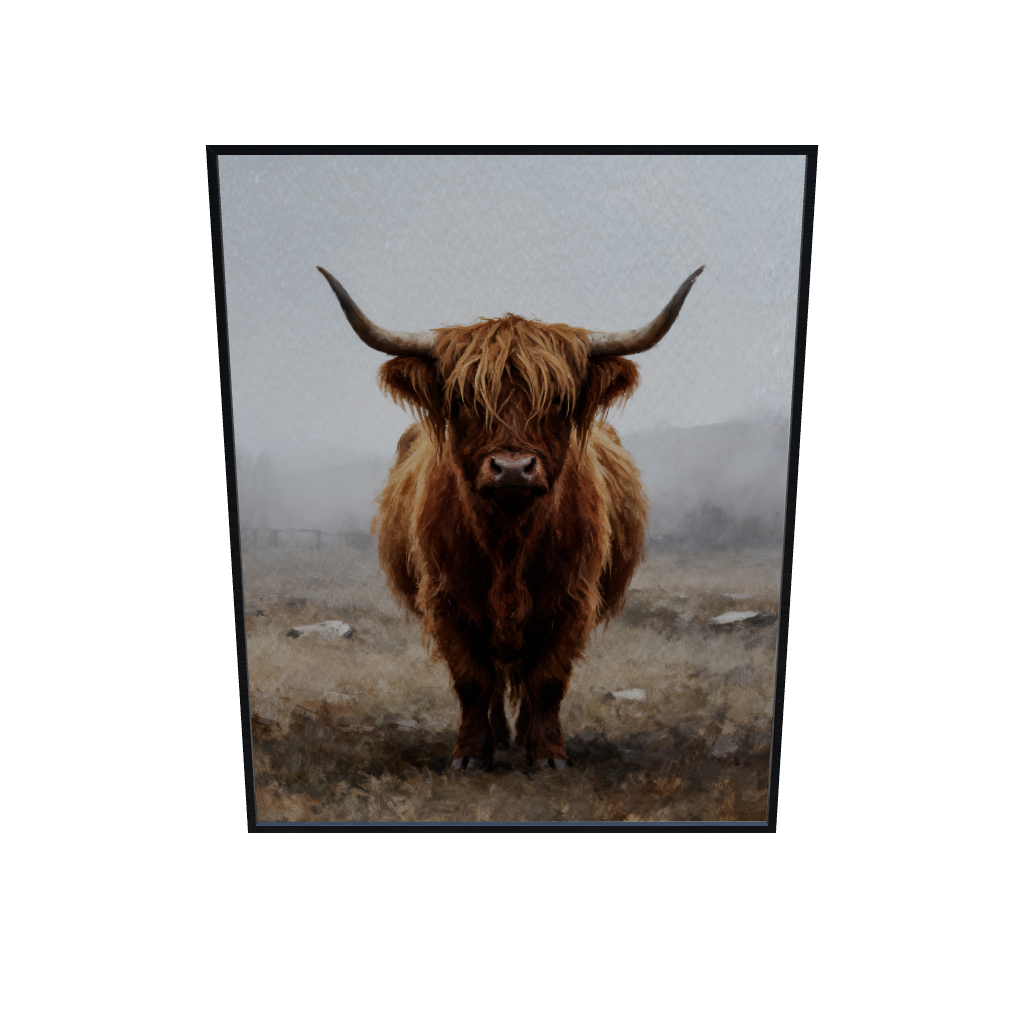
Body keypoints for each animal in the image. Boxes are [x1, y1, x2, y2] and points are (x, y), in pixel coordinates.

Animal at [317, 264, 703, 771]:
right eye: (464, 399)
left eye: (558, 399)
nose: (514, 468)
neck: (508, 541)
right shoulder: (445, 599)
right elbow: (472, 681)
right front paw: (469, 755)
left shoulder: (573, 598)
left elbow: (547, 681)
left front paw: (548, 755)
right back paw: (500, 738)